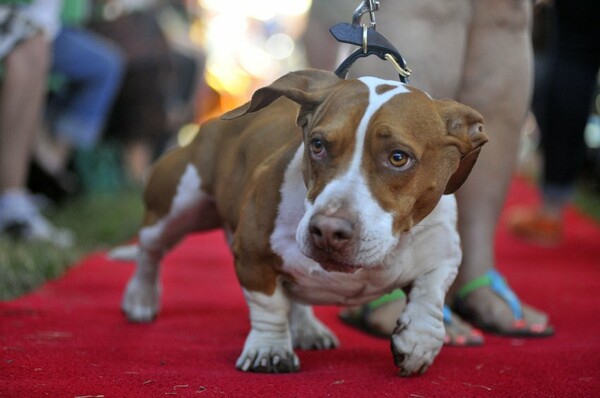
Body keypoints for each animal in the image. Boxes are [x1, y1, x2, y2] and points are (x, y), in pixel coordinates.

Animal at [120, 69, 488, 376]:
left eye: (399, 158)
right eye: (318, 145)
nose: (328, 231)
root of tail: (214, 123)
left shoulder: (444, 252)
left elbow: (430, 294)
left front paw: (418, 341)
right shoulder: (253, 254)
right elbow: (268, 305)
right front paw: (269, 349)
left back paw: (307, 327)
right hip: (175, 205)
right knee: (150, 249)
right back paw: (141, 298)